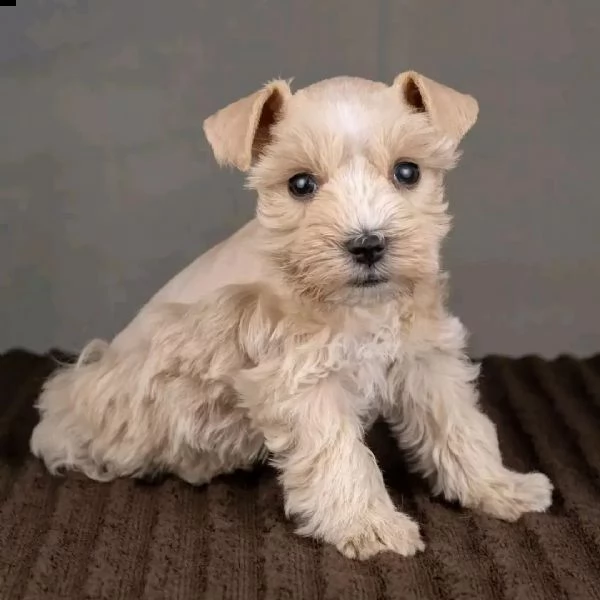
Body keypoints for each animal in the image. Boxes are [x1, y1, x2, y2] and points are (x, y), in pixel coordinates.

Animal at [29, 72, 552, 560]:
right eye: (300, 184)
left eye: (407, 172)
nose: (368, 244)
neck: (356, 306)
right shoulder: (303, 381)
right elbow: (339, 454)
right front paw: (370, 526)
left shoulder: (426, 360)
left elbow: (462, 427)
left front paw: (500, 487)